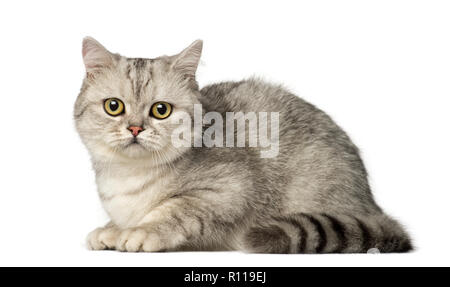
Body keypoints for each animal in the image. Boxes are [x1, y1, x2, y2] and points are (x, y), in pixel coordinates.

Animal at [74, 36, 414, 254]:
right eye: (114, 106)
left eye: (161, 110)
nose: (135, 128)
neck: (129, 176)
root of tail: (370, 205)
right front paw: (112, 228)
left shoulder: (229, 189)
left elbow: (175, 209)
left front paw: (140, 231)